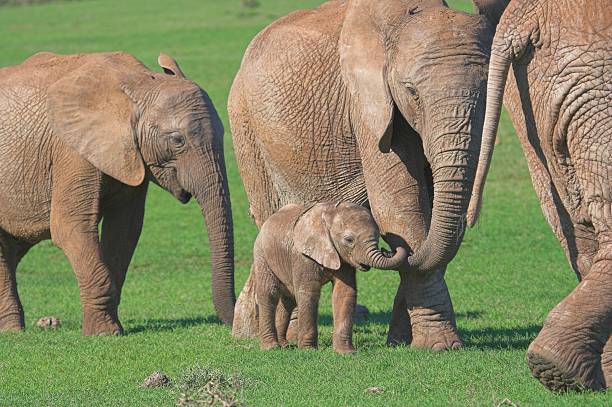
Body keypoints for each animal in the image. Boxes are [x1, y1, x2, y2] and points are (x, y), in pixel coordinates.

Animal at [0, 51, 234, 334]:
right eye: (178, 140)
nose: (233, 322)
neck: (139, 85)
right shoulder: (72, 150)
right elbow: (70, 226)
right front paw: (104, 332)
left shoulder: (131, 154)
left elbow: (125, 229)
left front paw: (108, 328)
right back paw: (13, 331)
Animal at [253, 203, 406, 354]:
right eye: (349, 240)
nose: (388, 250)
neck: (330, 214)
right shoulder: (303, 257)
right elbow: (309, 294)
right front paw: (308, 350)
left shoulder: (344, 260)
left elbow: (344, 293)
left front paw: (346, 352)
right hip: (261, 254)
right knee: (269, 294)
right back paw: (271, 347)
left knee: (288, 300)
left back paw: (284, 345)